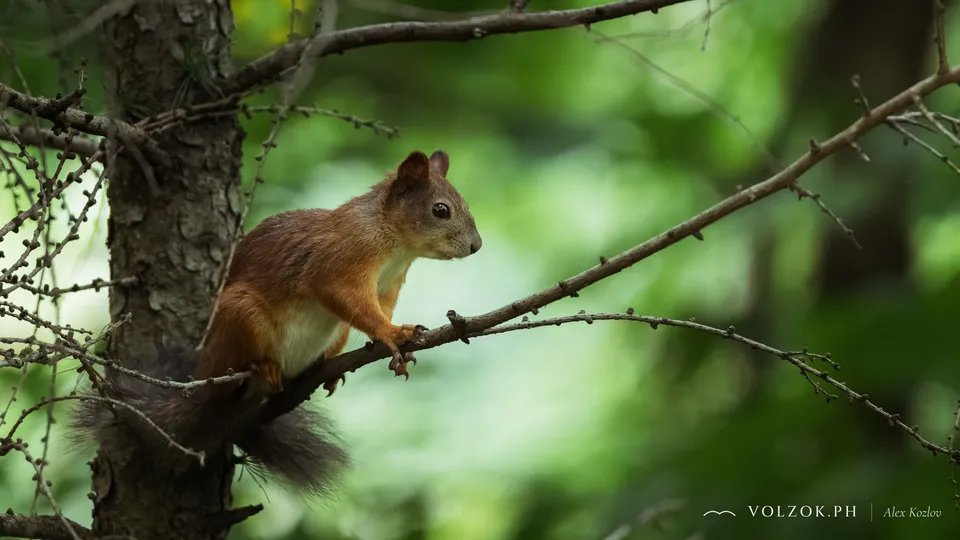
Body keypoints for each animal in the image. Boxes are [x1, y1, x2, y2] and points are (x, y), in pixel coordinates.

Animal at [72, 149, 481, 494]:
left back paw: (325, 368)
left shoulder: (389, 286)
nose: (476, 246)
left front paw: (394, 345)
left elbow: (378, 309)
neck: (394, 242)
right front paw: (393, 333)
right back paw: (263, 367)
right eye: (441, 210)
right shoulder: (342, 262)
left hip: (331, 334)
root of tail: (206, 379)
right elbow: (350, 302)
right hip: (239, 317)